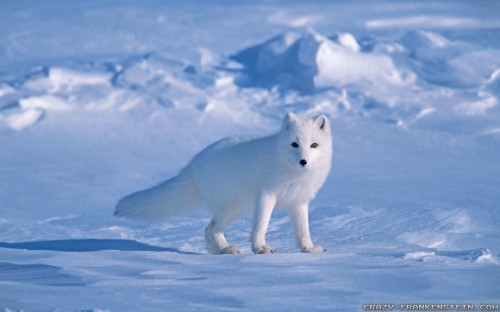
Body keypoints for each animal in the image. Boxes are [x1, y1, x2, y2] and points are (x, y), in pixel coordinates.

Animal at [113, 113, 332, 255]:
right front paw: (260, 248)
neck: (291, 171)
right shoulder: (267, 195)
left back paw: (220, 250)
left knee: (209, 229)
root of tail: (194, 164)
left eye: (314, 145)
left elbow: (303, 230)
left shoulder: (299, 201)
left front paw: (309, 248)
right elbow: (261, 225)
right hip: (233, 206)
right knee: (211, 228)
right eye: (294, 144)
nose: (303, 161)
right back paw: (226, 249)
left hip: (237, 207)